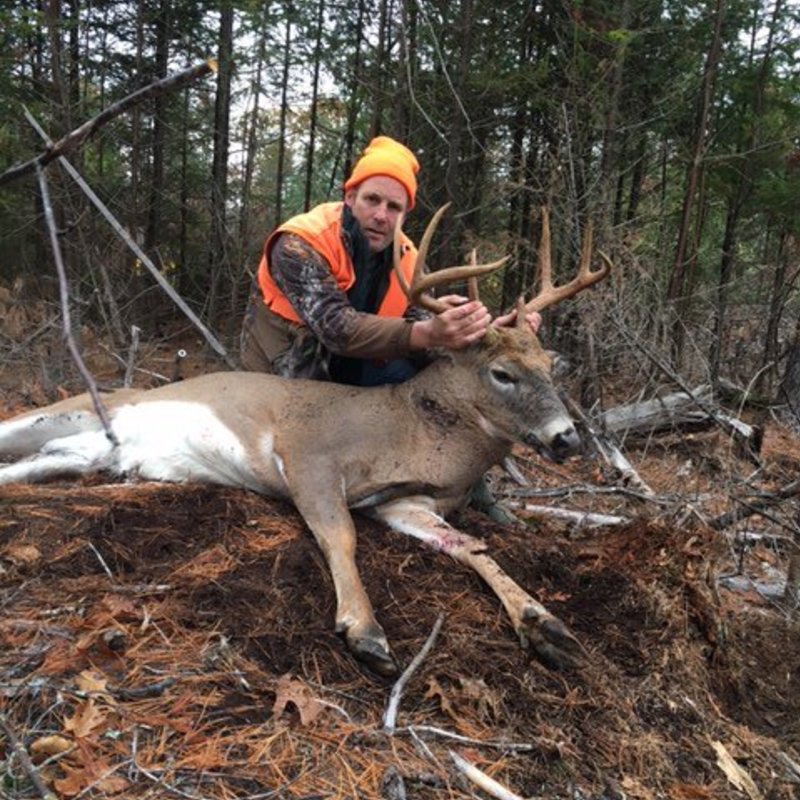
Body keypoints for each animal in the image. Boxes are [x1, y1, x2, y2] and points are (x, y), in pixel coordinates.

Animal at [0, 206, 610, 678]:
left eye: (549, 367)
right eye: (503, 373)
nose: (566, 439)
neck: (413, 435)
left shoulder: (405, 502)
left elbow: (469, 545)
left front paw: (544, 623)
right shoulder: (309, 452)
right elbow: (341, 535)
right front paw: (366, 631)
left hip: (80, 454)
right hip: (66, 410)